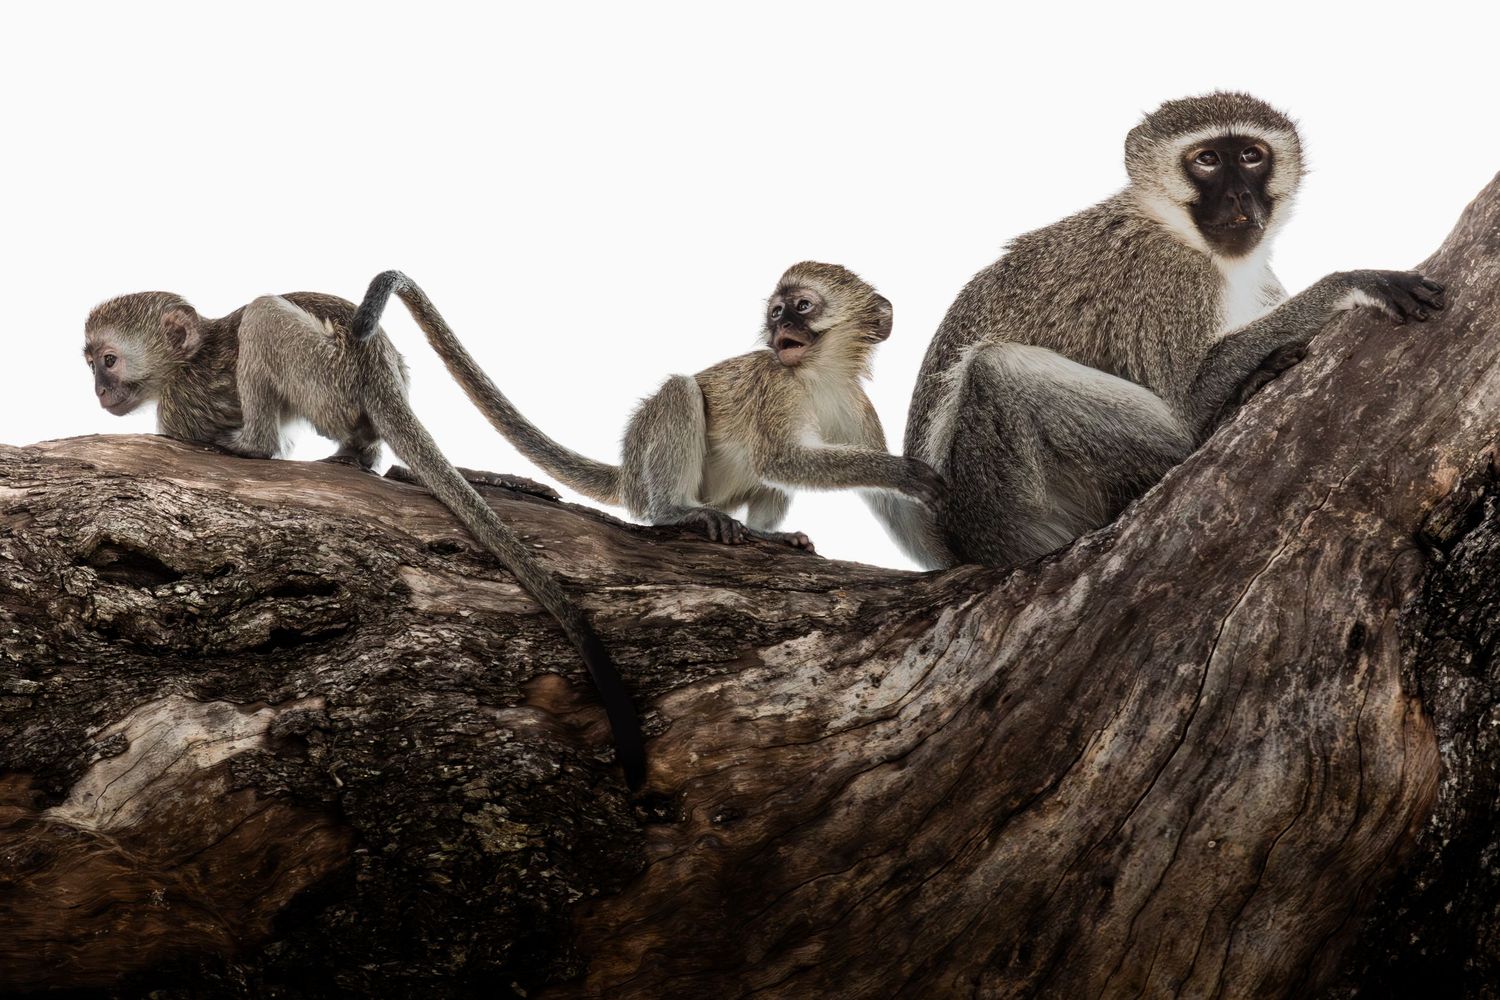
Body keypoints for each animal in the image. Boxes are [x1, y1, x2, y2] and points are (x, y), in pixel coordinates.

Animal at [83, 290, 646, 788]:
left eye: (108, 361)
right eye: (90, 364)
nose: (98, 392)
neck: (189, 357)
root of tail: (374, 365)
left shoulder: (182, 405)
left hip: (327, 374)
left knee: (263, 316)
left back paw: (254, 444)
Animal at [350, 264, 949, 567]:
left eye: (802, 307)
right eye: (777, 312)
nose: (782, 327)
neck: (817, 375)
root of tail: (631, 475)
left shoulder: (856, 406)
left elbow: (885, 505)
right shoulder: (776, 388)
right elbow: (782, 458)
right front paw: (905, 472)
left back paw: (769, 537)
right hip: (653, 469)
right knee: (682, 394)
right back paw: (676, 512)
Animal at [901, 91, 1446, 570]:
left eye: (1251, 156)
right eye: (1206, 159)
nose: (1239, 195)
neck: (1176, 228)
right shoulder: (1167, 275)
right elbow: (1191, 393)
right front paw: (1352, 282)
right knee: (997, 369)